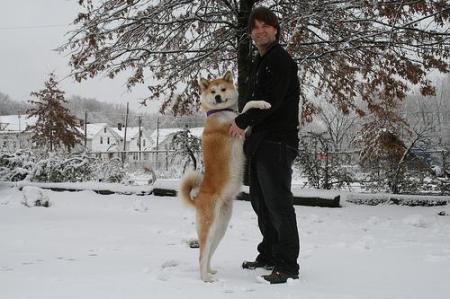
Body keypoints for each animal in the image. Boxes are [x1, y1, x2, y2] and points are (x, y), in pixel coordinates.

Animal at [178, 71, 270, 284]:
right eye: (213, 91)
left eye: (222, 89)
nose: (218, 97)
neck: (220, 113)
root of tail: (198, 198)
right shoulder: (236, 129)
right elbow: (246, 108)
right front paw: (262, 103)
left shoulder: (243, 129)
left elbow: (243, 110)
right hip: (210, 225)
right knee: (202, 254)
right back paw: (205, 278)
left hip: (220, 228)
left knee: (209, 252)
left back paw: (210, 271)